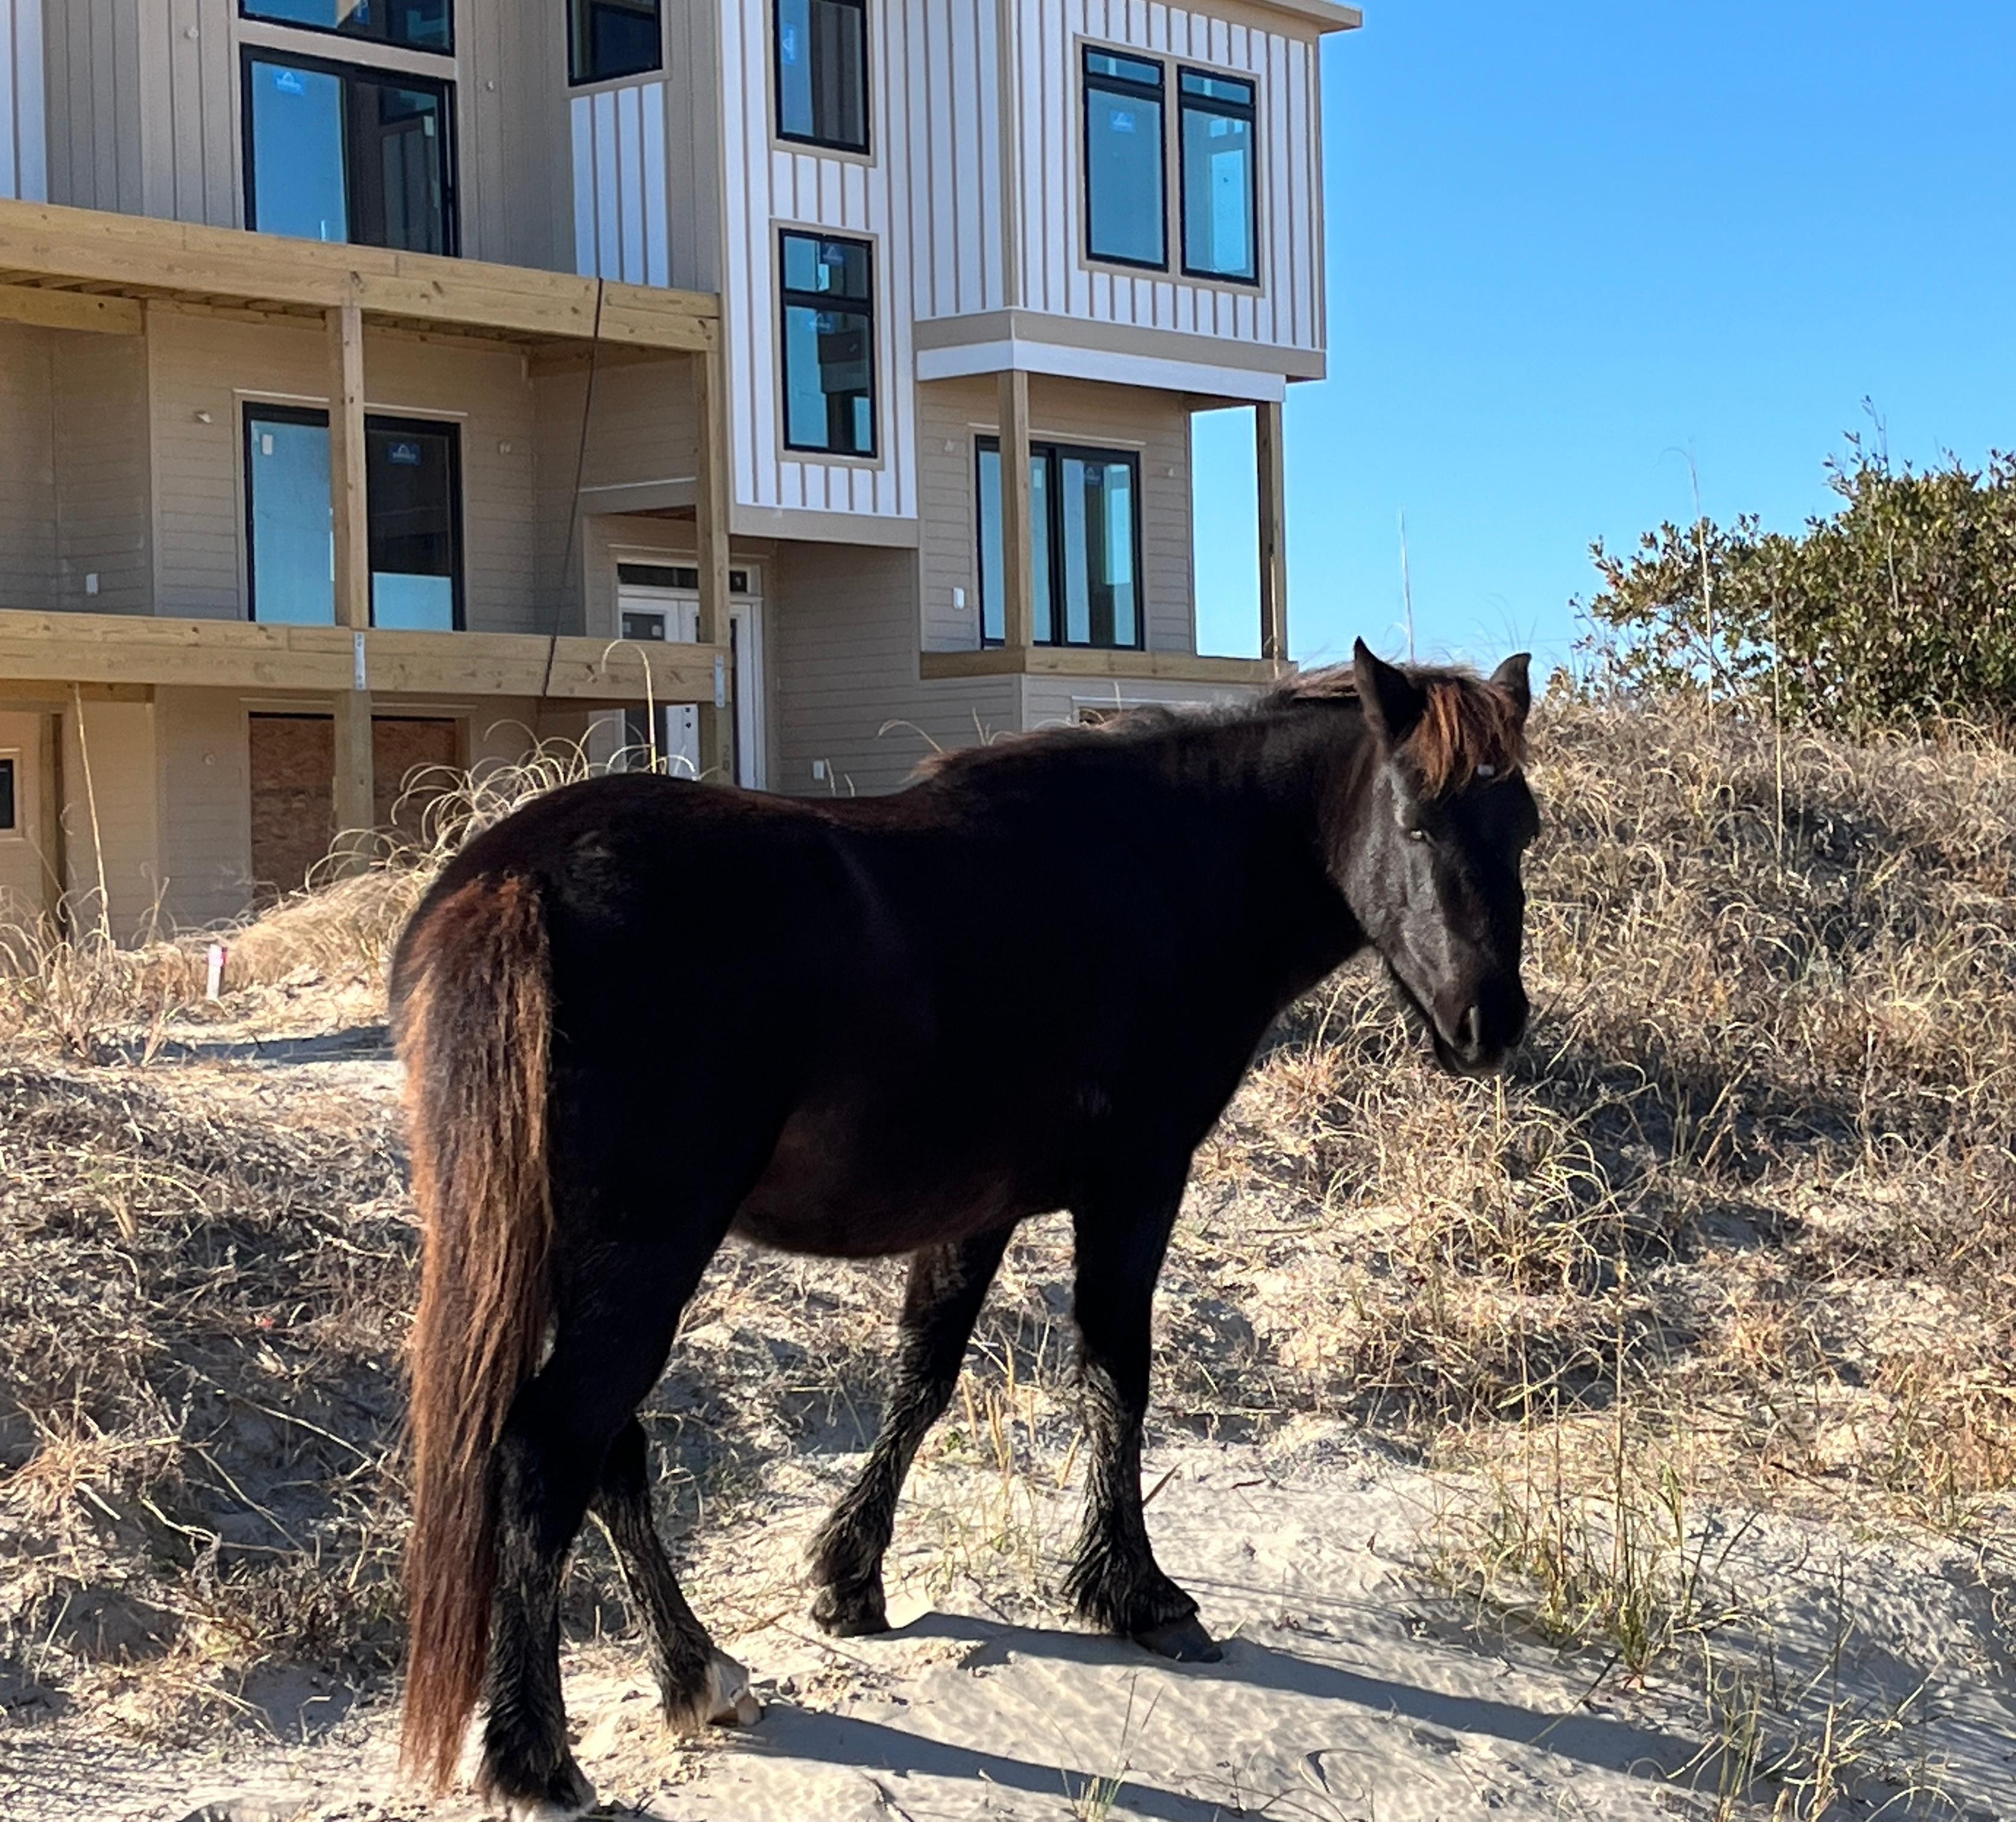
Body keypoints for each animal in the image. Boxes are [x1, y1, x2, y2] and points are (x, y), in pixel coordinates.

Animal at [390, 639, 1538, 1820]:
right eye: (1414, 821)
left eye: (1525, 828)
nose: (1489, 1023)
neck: (1156, 866)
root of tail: (514, 878)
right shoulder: (1134, 1189)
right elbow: (1116, 1375)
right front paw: (1138, 1594)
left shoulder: (973, 1216)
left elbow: (924, 1375)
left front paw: (850, 1576)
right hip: (643, 1255)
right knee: (548, 1452)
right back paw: (534, 1755)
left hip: (583, 1260)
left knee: (606, 1450)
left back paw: (696, 1672)